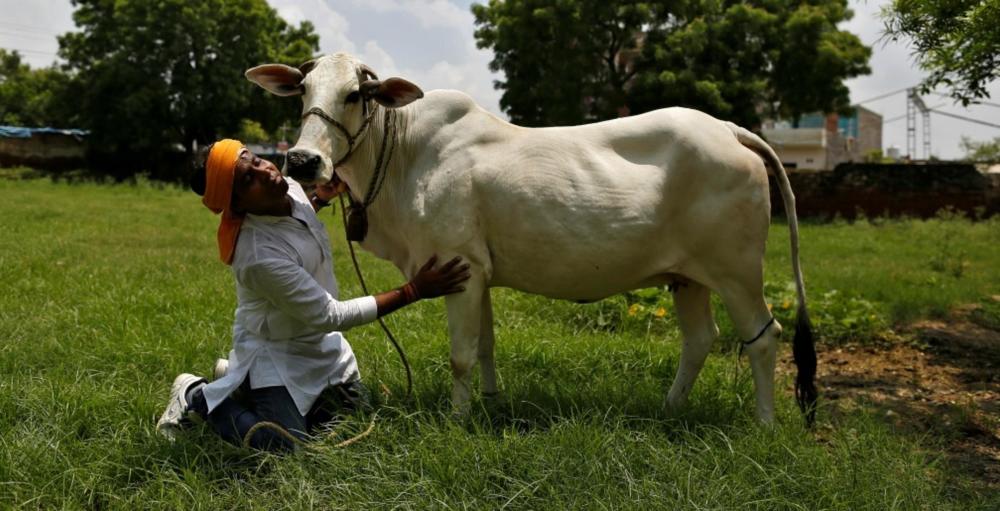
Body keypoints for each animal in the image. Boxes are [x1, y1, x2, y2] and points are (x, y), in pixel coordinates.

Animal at [246, 54, 816, 426]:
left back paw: (764, 425)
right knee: (700, 340)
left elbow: (461, 354)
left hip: (737, 271)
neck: (405, 154)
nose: (303, 161)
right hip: (687, 278)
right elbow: (485, 346)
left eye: (355, 95)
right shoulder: (478, 272)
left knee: (763, 337)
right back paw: (669, 410)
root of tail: (727, 127)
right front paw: (492, 403)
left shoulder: (458, 267)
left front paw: (458, 420)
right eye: (303, 91)